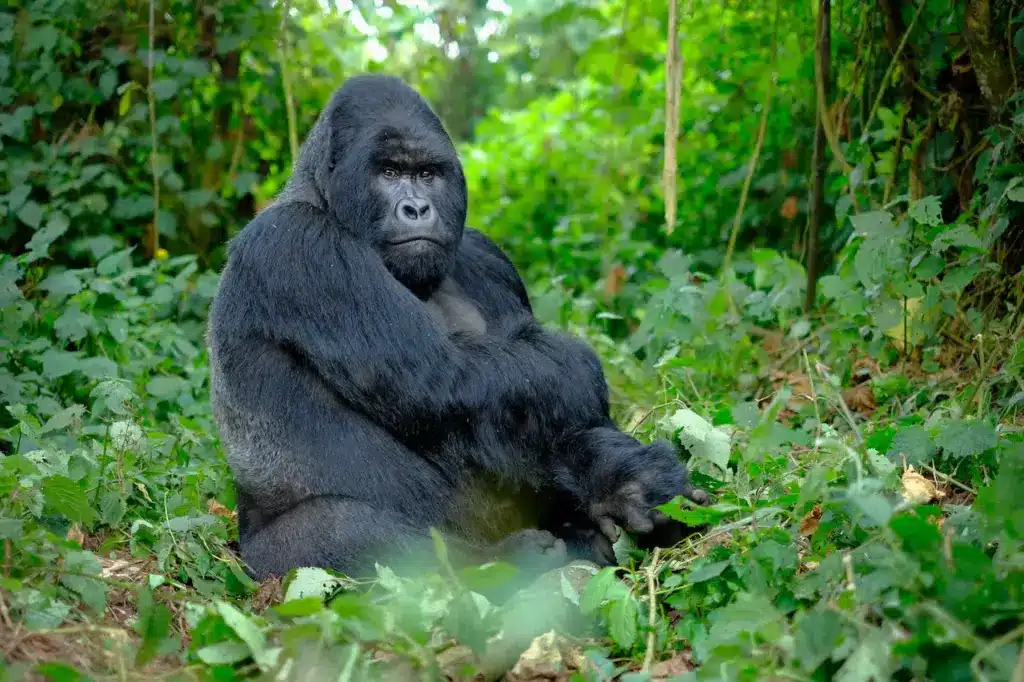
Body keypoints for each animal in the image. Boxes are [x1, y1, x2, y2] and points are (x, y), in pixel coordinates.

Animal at [205, 75, 704, 585]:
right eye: (388, 173)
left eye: (427, 174)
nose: (416, 208)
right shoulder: (297, 244)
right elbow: (449, 380)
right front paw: (584, 374)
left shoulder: (487, 255)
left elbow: (532, 408)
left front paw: (624, 477)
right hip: (264, 565)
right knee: (342, 528)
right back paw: (505, 562)